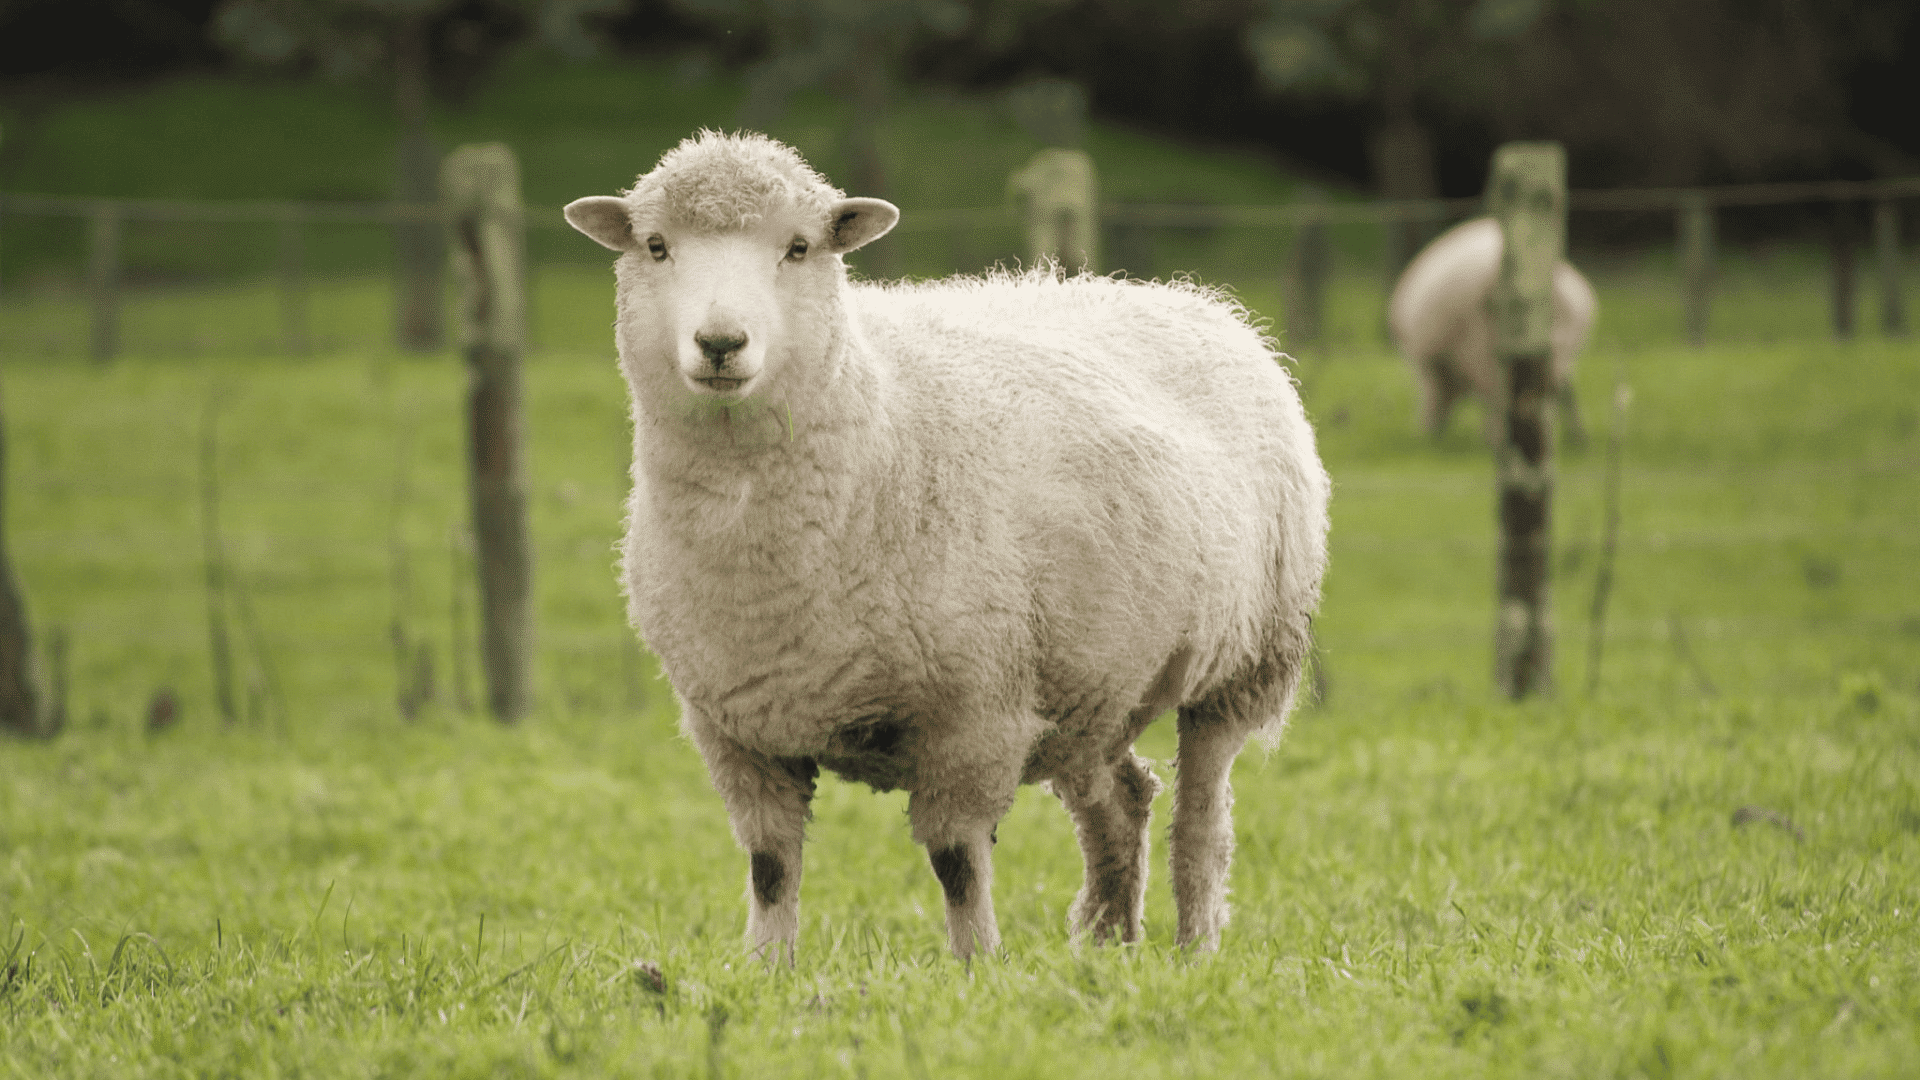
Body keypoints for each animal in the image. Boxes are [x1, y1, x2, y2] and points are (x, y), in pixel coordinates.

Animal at [563, 130, 1330, 962]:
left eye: (799, 247)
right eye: (656, 246)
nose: (720, 343)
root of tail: (1194, 300)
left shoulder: (976, 714)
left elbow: (957, 861)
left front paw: (977, 967)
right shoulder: (736, 729)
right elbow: (770, 865)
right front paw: (766, 969)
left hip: (1244, 661)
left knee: (1202, 820)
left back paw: (1193, 949)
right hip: (1088, 683)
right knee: (1122, 801)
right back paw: (1107, 945)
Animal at [1388, 216, 1598, 445]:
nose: (1425, 435)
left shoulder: (1434, 362)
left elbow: (1435, 396)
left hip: (1483, 349)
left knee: (1498, 394)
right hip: (1550, 351)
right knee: (1544, 392)